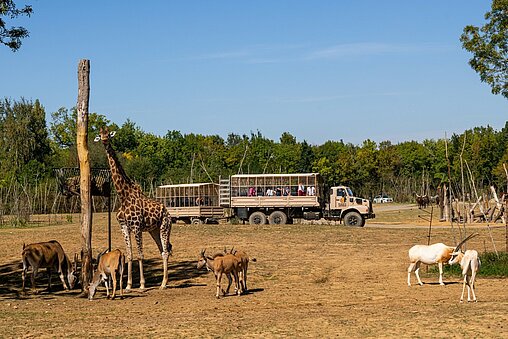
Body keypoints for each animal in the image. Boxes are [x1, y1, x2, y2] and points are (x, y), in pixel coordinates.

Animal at [95, 128, 173, 292]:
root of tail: (167, 212)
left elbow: (140, 255)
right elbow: (130, 255)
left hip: (165, 226)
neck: (123, 196)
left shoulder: (136, 227)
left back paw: (163, 284)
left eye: (108, 134)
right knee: (163, 250)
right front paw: (128, 285)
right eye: (100, 134)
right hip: (154, 230)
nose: (104, 140)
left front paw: (142, 285)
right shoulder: (124, 226)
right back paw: (164, 282)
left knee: (165, 251)